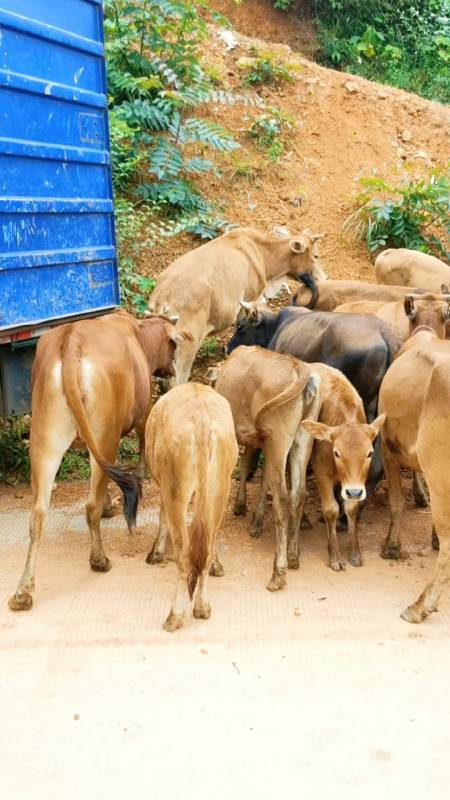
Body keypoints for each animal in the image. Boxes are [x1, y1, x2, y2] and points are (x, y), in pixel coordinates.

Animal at [7, 310, 184, 608]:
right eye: (173, 347)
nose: (171, 370)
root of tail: (71, 342)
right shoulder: (143, 414)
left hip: (45, 441)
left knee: (38, 514)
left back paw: (23, 591)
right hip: (105, 435)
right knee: (90, 505)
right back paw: (99, 560)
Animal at [144, 384, 237, 636]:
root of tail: (202, 419)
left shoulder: (164, 488)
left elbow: (161, 517)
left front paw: (156, 552)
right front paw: (218, 566)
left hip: (175, 490)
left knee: (184, 555)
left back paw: (174, 616)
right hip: (220, 489)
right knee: (205, 548)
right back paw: (202, 607)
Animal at [149, 225, 326, 384]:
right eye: (316, 256)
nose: (324, 277)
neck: (262, 253)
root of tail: (164, 294)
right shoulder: (250, 297)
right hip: (186, 347)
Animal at [214, 346, 320, 592]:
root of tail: (299, 367)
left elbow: (244, 466)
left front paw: (241, 507)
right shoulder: (258, 440)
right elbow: (259, 476)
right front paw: (254, 519)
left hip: (277, 439)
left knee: (282, 497)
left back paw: (278, 573)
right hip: (302, 438)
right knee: (298, 494)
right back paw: (293, 556)